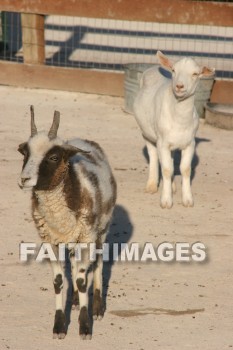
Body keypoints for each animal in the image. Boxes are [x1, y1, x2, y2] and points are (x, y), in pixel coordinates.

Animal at [17, 106, 116, 340]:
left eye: (53, 156)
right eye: (25, 153)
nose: (24, 180)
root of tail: (85, 140)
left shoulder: (87, 236)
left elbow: (81, 280)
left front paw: (85, 327)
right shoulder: (49, 240)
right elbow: (59, 281)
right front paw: (60, 325)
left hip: (101, 230)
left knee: (97, 264)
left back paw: (97, 308)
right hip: (73, 239)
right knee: (74, 264)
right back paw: (77, 301)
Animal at [134, 51, 214, 208]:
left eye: (195, 73)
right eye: (174, 70)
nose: (179, 86)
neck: (180, 121)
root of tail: (154, 68)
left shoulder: (190, 143)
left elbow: (185, 169)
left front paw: (187, 200)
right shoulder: (162, 142)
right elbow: (166, 169)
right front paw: (166, 201)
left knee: (169, 160)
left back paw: (172, 187)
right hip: (147, 133)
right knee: (153, 156)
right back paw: (152, 186)